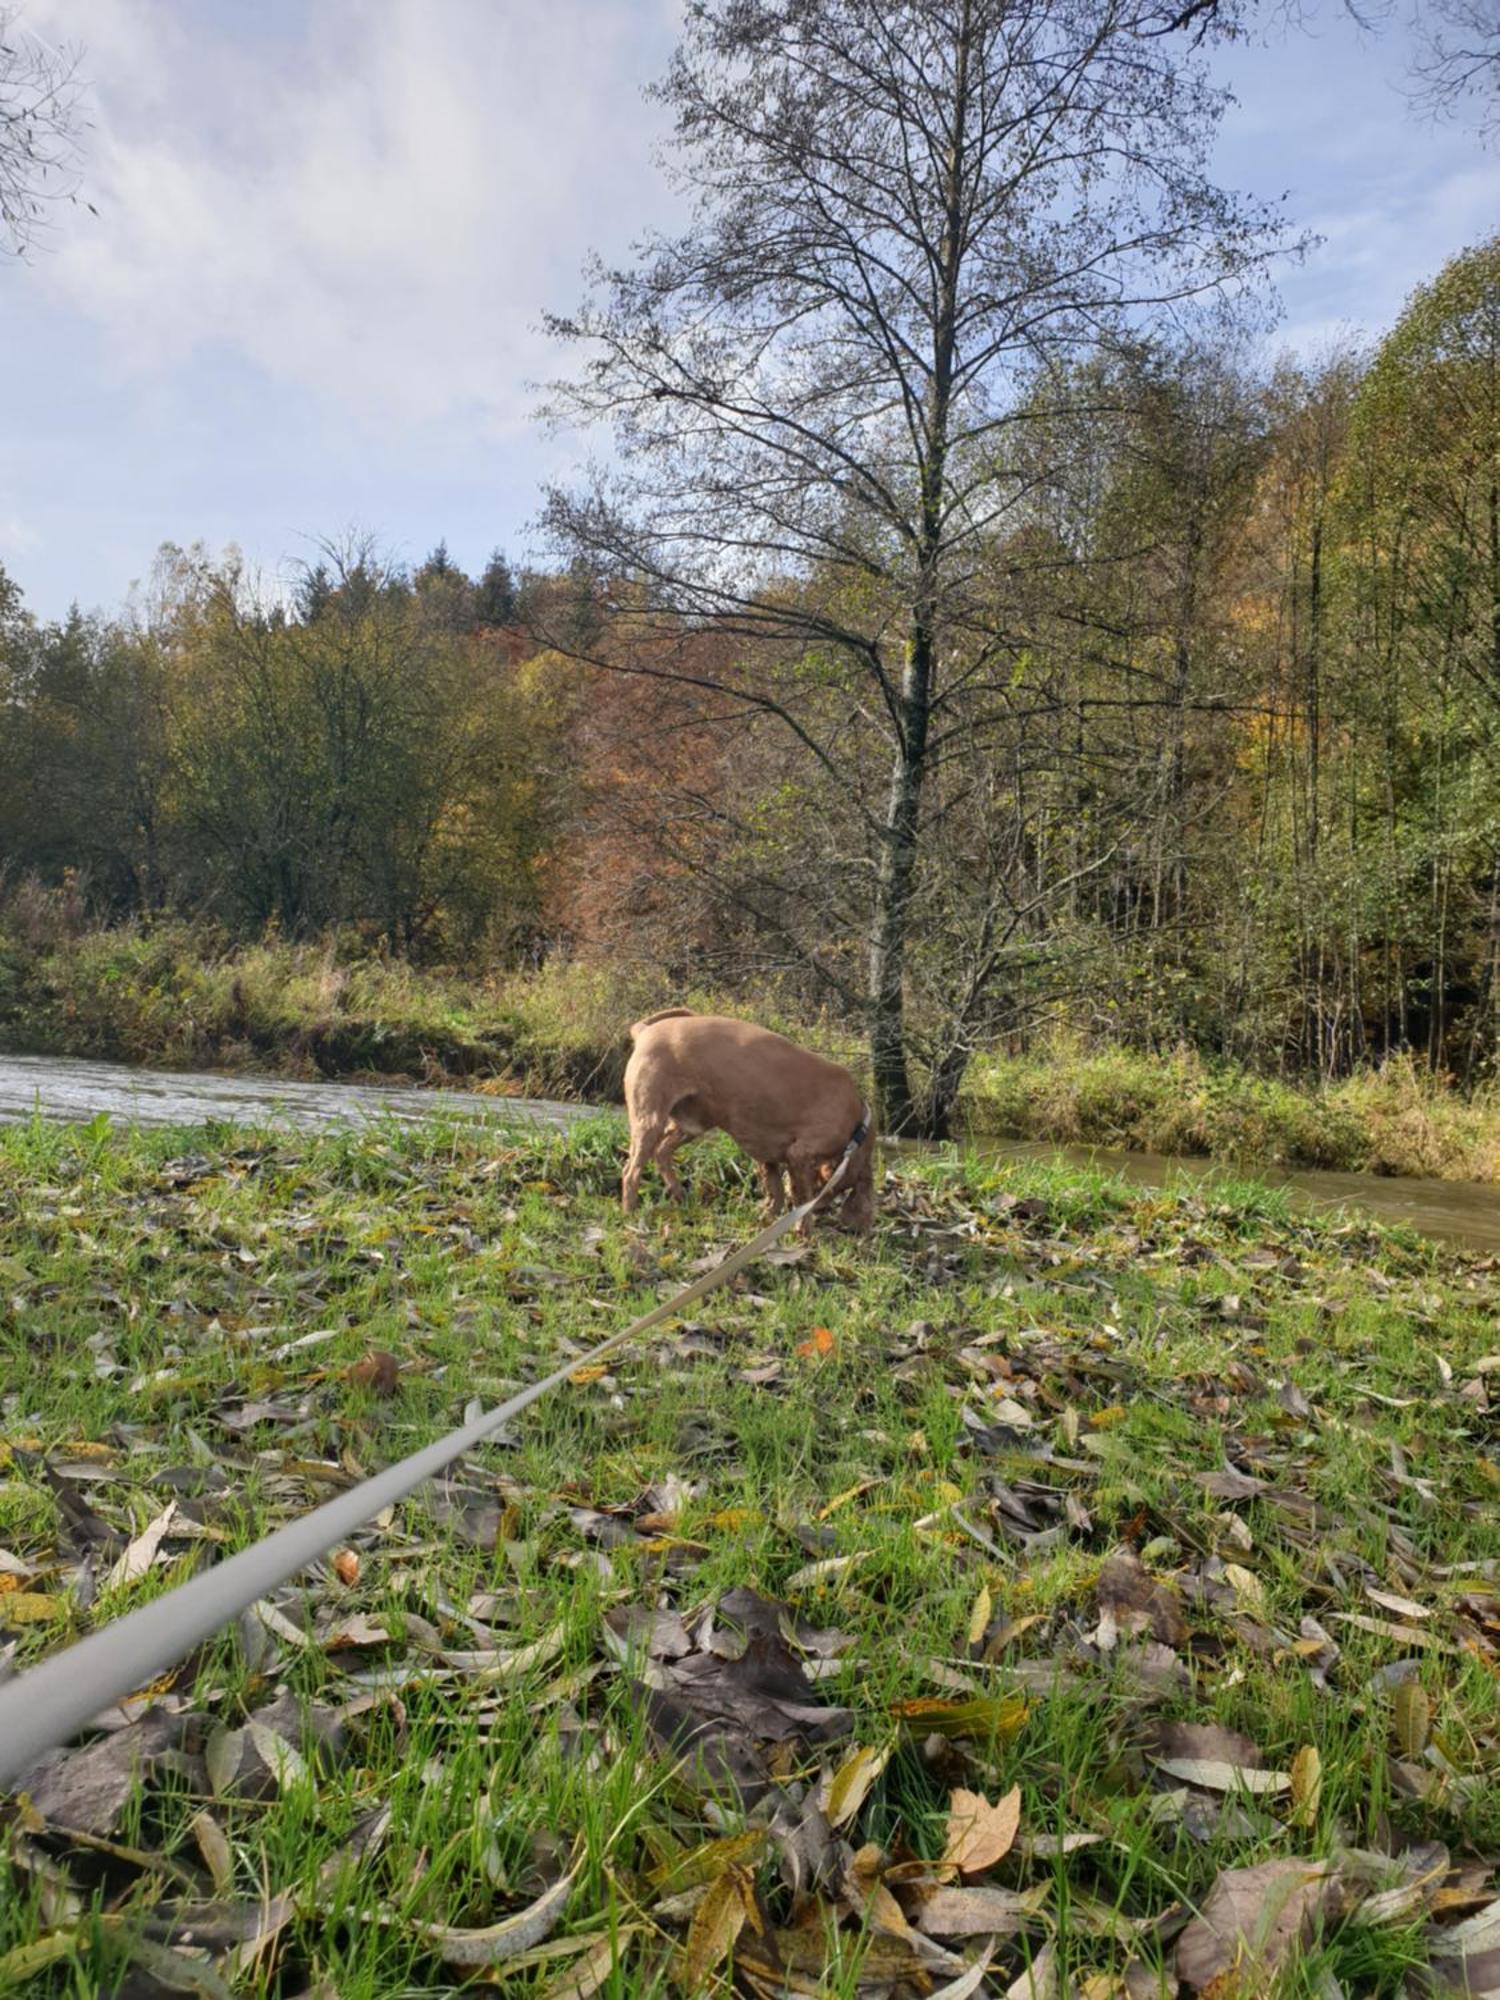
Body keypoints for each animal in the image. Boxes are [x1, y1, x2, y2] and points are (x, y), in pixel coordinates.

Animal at [624, 1008, 880, 1224]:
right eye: (833, 1188)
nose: (820, 1208)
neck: (856, 1125)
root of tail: (643, 1031)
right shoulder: (799, 1154)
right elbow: (797, 1198)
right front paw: (803, 1232)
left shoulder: (768, 1154)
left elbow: (774, 1190)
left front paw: (768, 1216)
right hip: (649, 1121)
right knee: (630, 1171)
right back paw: (630, 1212)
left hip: (692, 1124)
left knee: (661, 1152)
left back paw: (680, 1195)